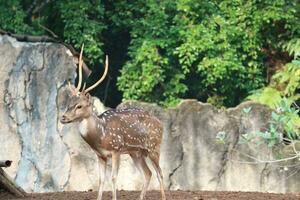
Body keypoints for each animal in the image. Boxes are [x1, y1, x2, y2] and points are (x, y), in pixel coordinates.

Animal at [59, 45, 165, 200]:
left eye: (79, 106)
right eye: (69, 103)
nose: (63, 117)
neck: (101, 135)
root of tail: (161, 125)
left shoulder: (116, 150)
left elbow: (114, 178)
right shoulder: (100, 155)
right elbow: (101, 180)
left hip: (153, 147)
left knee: (159, 173)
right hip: (136, 153)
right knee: (147, 173)